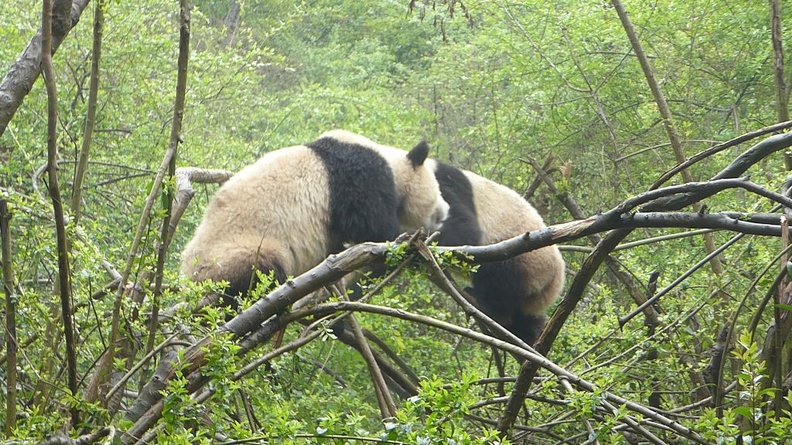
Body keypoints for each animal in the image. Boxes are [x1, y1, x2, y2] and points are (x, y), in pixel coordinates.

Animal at [182, 130, 448, 300]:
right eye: (436, 191)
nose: (445, 212)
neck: (391, 163)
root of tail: (187, 281)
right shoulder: (358, 178)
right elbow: (375, 229)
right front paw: (408, 241)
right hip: (231, 253)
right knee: (261, 267)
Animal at [430, 160, 568, 344]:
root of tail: (556, 279)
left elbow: (463, 233)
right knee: (525, 318)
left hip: (520, 258)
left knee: (498, 280)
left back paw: (486, 307)